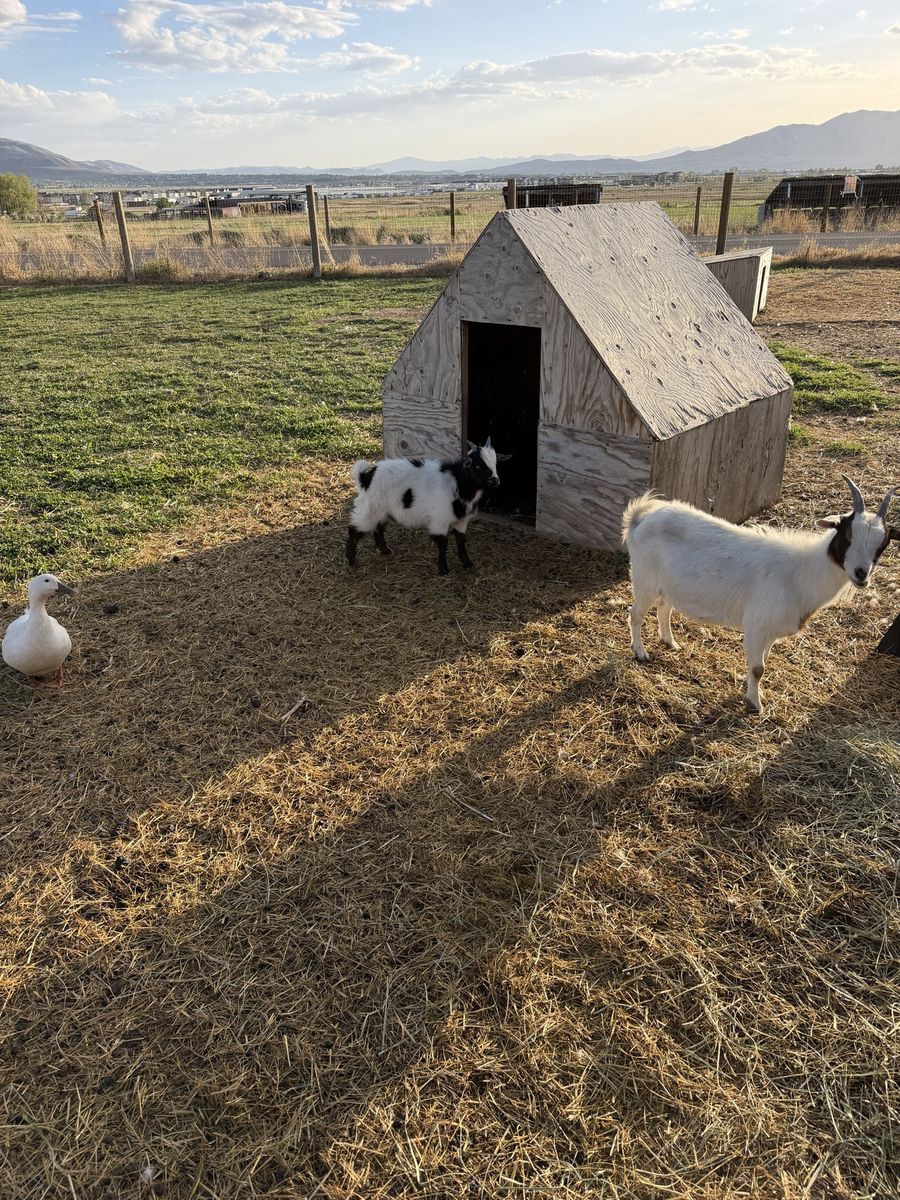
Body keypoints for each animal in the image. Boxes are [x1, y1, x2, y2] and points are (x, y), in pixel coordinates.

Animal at [346, 439, 510, 575]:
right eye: (477, 465)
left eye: (495, 464)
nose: (495, 481)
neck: (458, 483)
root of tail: (365, 476)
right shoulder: (440, 519)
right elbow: (443, 544)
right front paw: (443, 570)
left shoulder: (461, 520)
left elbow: (461, 540)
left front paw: (467, 563)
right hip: (369, 508)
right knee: (354, 530)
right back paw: (351, 560)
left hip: (381, 510)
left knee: (378, 528)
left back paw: (384, 550)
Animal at [622, 476, 898, 712]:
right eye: (847, 534)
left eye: (883, 543)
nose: (861, 573)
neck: (801, 572)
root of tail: (641, 515)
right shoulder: (757, 624)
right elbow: (758, 668)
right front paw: (755, 704)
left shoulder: (771, 631)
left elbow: (762, 661)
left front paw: (752, 692)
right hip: (645, 580)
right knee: (635, 613)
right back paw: (641, 652)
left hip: (668, 584)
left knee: (664, 607)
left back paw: (670, 642)